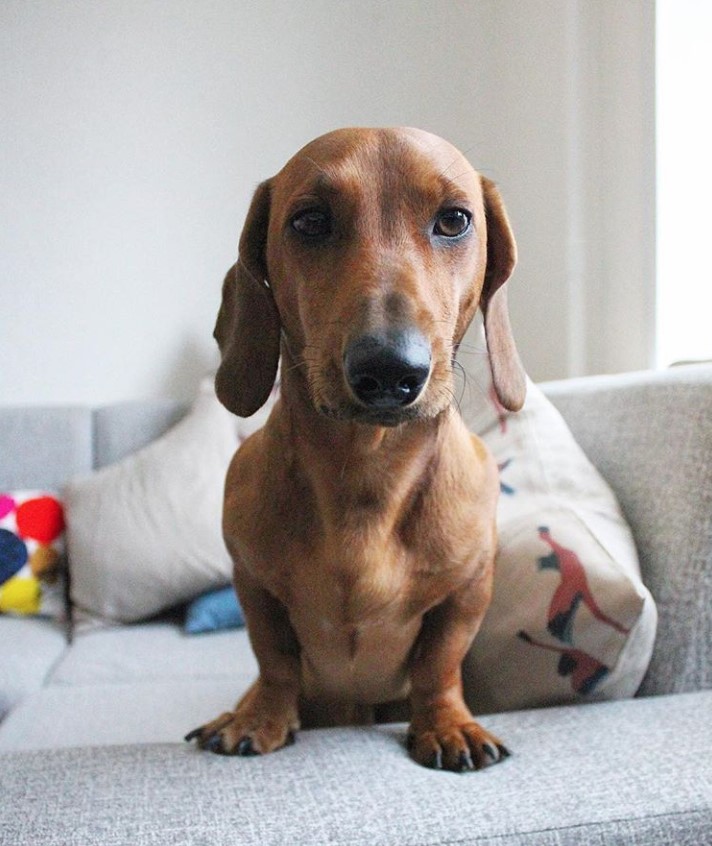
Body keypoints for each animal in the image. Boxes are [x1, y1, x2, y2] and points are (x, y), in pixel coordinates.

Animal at [186, 129, 524, 772]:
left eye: (455, 220)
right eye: (310, 221)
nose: (390, 370)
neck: (367, 471)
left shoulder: (469, 590)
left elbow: (440, 663)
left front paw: (446, 723)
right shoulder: (252, 584)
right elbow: (273, 660)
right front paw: (260, 718)